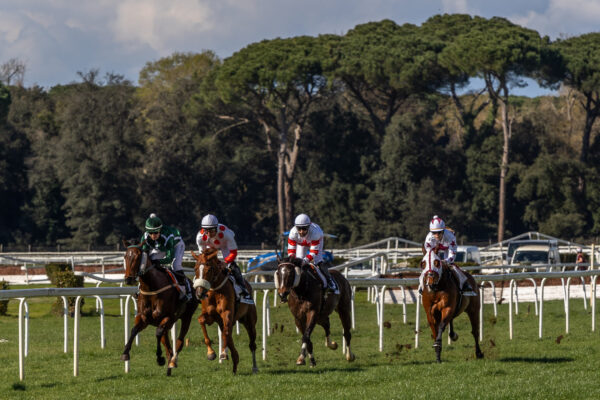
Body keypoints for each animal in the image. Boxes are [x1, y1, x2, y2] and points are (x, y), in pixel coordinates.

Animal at [120, 241, 199, 376]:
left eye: (137, 257)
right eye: (125, 256)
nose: (128, 279)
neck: (151, 287)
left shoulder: (167, 317)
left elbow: (157, 334)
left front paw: (159, 358)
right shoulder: (144, 318)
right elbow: (134, 330)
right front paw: (125, 353)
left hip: (186, 317)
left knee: (179, 341)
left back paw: (172, 362)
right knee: (168, 345)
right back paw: (169, 365)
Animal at [192, 247, 258, 376]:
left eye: (209, 269)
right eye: (195, 268)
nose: (199, 293)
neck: (215, 291)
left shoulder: (227, 313)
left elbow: (225, 334)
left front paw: (222, 353)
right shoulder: (211, 316)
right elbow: (201, 320)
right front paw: (211, 353)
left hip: (249, 322)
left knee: (251, 343)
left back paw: (254, 367)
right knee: (228, 337)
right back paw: (235, 362)